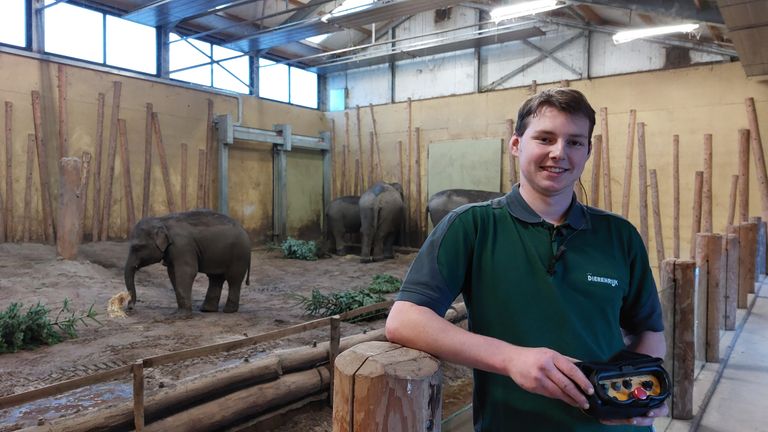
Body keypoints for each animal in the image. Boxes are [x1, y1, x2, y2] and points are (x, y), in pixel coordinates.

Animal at [121, 210, 250, 314]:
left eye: (137, 247)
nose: (130, 308)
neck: (162, 220)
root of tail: (245, 231)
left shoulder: (182, 246)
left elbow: (187, 271)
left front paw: (181, 315)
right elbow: (172, 273)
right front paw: (178, 312)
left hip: (239, 255)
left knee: (233, 279)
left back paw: (229, 311)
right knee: (215, 278)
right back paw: (207, 310)